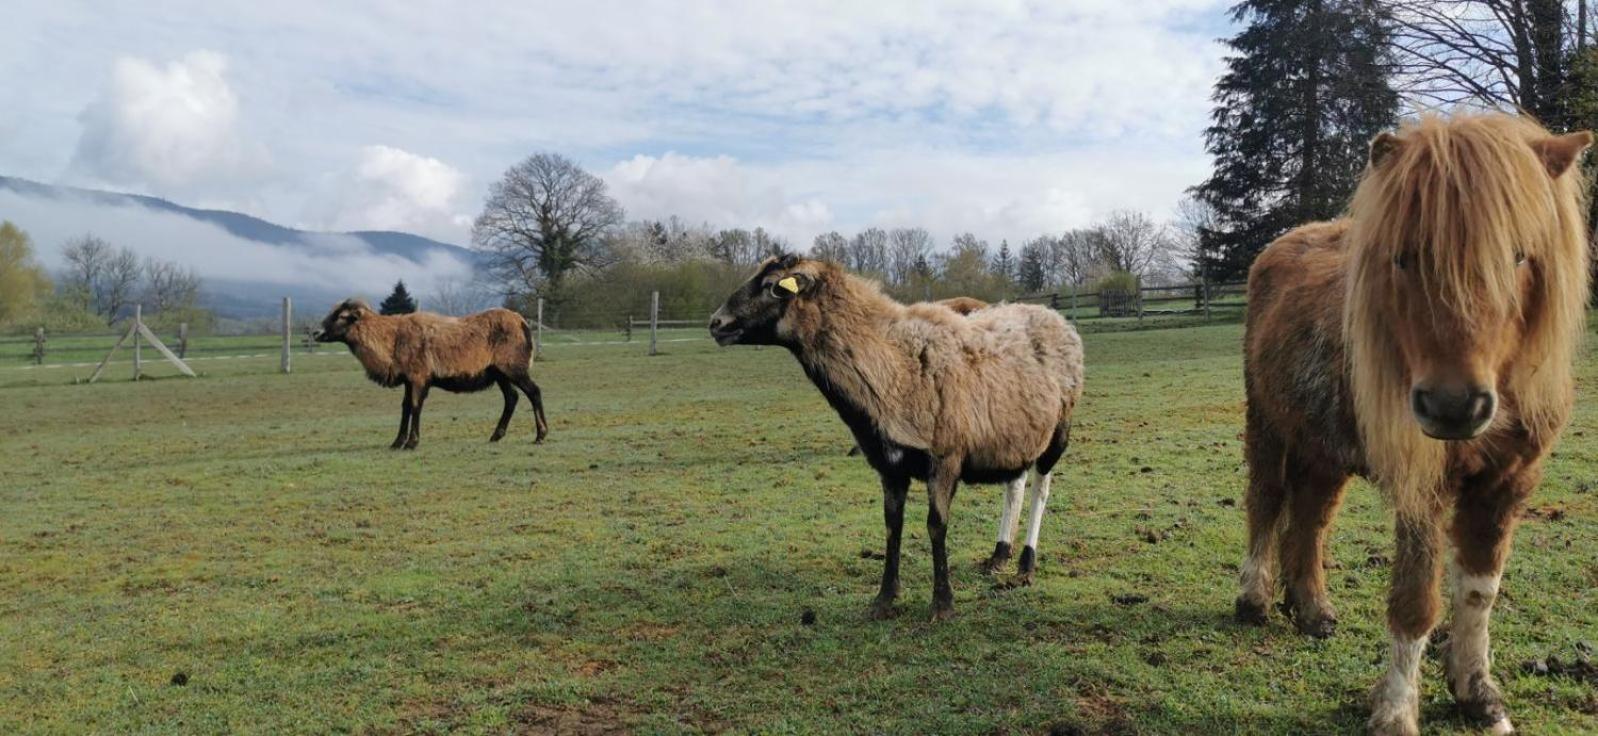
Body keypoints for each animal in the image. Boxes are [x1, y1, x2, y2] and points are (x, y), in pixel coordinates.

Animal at [311, 296, 549, 447]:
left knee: (534, 392)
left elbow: (416, 406)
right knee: (512, 397)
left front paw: (412, 442)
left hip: (513, 368)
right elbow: (405, 407)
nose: (315, 332)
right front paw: (397, 442)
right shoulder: (409, 379)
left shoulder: (419, 376)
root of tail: (522, 322)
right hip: (499, 373)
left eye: (342, 316)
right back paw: (496, 435)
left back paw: (540, 435)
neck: (391, 339)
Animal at [706, 255, 1080, 616]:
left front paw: (942, 604)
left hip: (1058, 431)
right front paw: (884, 599)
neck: (895, 365)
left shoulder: (944, 458)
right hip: (1015, 435)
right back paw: (1000, 554)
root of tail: (1051, 314)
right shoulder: (890, 465)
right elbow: (892, 525)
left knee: (1042, 487)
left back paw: (1026, 564)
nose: (716, 323)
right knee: (1015, 483)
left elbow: (936, 525)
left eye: (773, 287)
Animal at [1233, 110, 1585, 734]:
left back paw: (1312, 609)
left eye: (1519, 255)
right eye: (1401, 258)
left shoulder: (1508, 484)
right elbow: (1417, 600)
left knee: (1311, 518)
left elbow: (1478, 592)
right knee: (1267, 501)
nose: (1453, 406)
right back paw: (1254, 598)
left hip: (1323, 448)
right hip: (1268, 423)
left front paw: (1478, 694)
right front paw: (1397, 710)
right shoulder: (1424, 487)